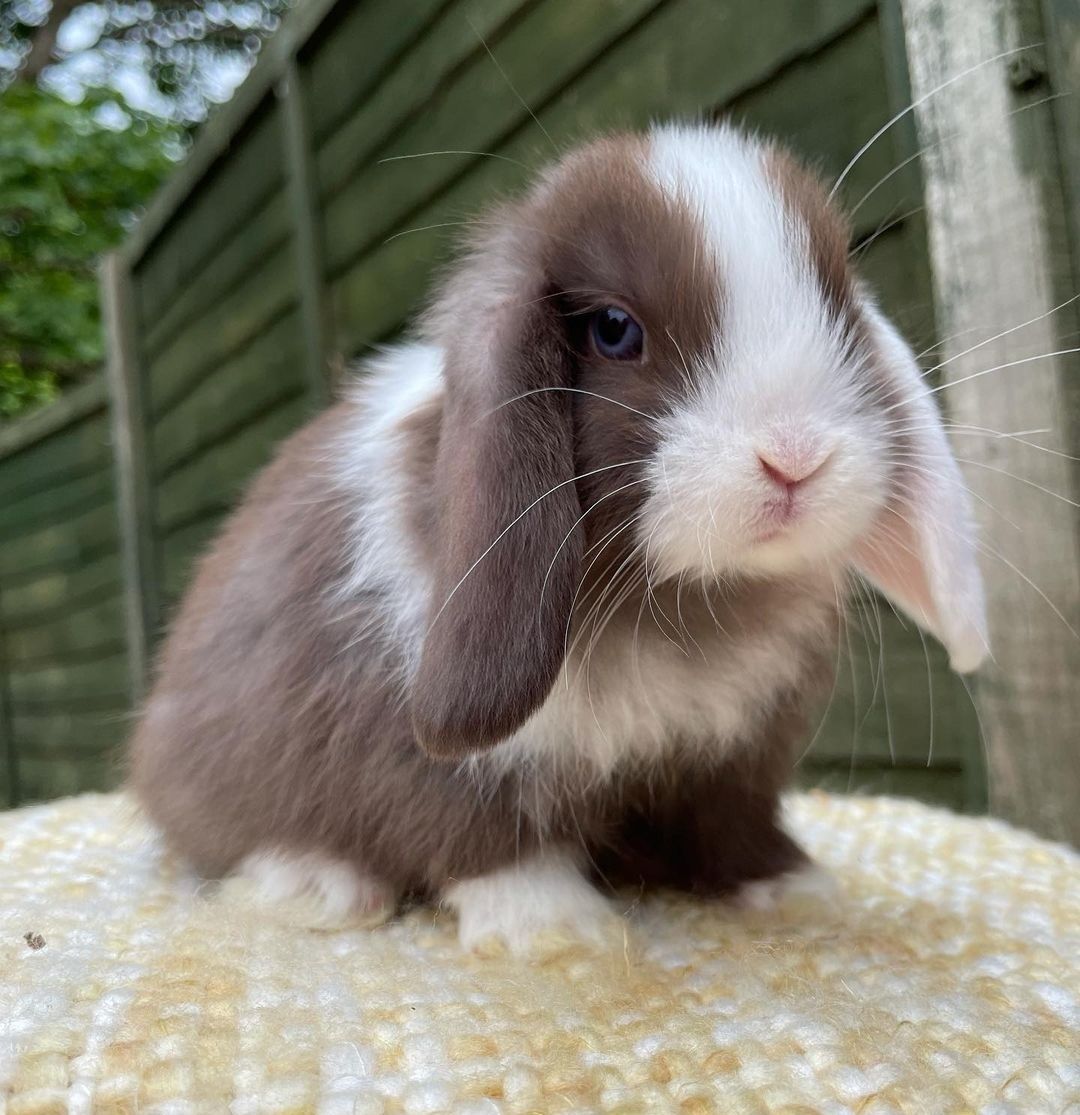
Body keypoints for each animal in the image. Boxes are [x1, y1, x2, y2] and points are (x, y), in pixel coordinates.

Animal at [128, 124, 985, 958]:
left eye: (840, 309)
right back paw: (315, 885)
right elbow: (485, 840)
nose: (797, 457)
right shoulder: (441, 759)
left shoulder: (731, 760)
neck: (668, 598)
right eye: (614, 330)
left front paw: (794, 890)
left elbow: (733, 823)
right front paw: (554, 932)